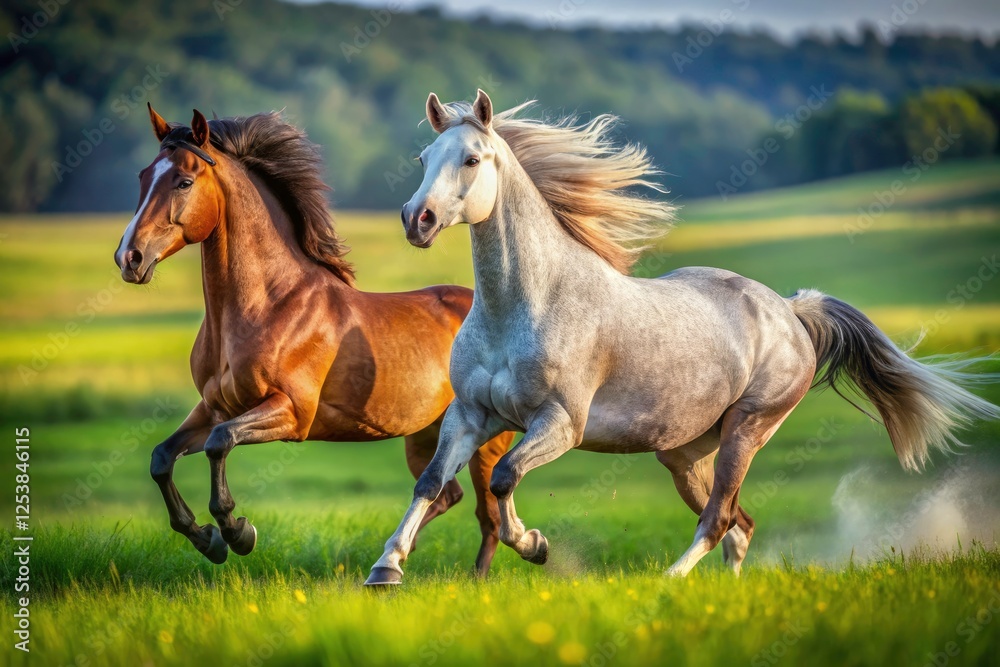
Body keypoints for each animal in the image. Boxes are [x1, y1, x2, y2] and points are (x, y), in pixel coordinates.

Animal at [114, 103, 514, 574]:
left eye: (184, 181)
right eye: (144, 176)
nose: (129, 257)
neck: (269, 305)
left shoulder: (291, 413)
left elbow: (219, 443)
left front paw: (237, 532)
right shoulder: (214, 407)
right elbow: (162, 458)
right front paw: (206, 539)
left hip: (485, 440)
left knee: (488, 514)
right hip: (425, 434)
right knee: (446, 494)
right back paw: (395, 558)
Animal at [364, 90, 1000, 586]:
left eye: (472, 159)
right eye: (424, 157)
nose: (417, 219)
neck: (523, 305)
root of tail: (790, 311)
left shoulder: (560, 424)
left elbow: (503, 478)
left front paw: (536, 545)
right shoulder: (470, 414)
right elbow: (430, 483)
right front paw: (386, 569)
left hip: (748, 428)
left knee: (718, 519)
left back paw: (669, 580)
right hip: (685, 452)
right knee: (739, 524)